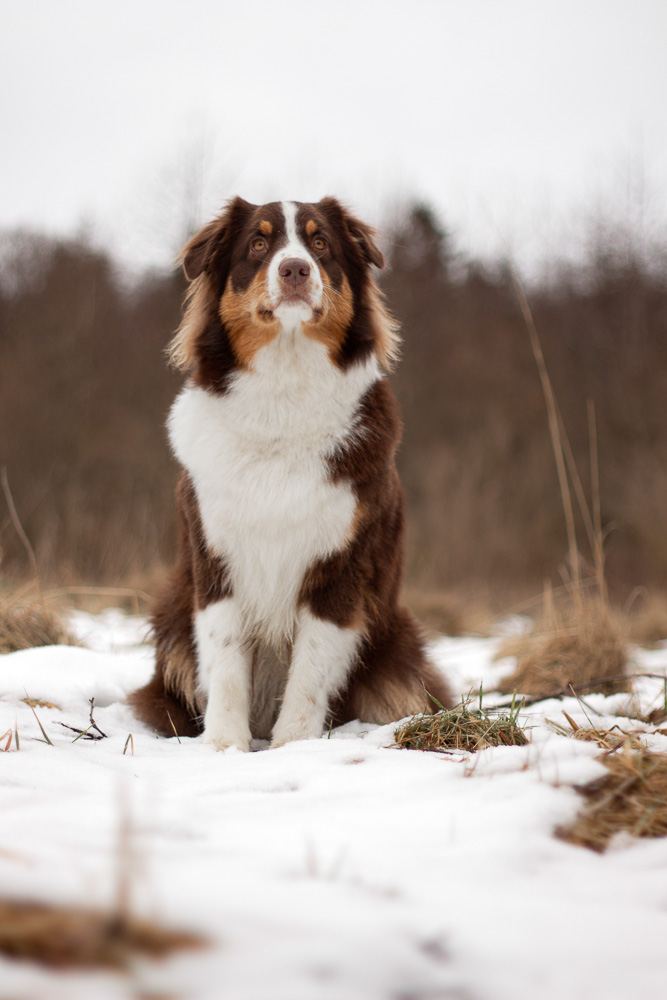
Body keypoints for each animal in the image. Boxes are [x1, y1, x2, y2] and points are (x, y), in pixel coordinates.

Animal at [129, 195, 454, 748]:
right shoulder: (216, 561)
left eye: (320, 242)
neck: (283, 392)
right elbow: (226, 664)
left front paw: (292, 748)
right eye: (258, 244)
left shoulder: (340, 567)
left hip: (398, 645)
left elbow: (309, 672)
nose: (296, 268)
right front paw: (224, 747)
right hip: (172, 617)